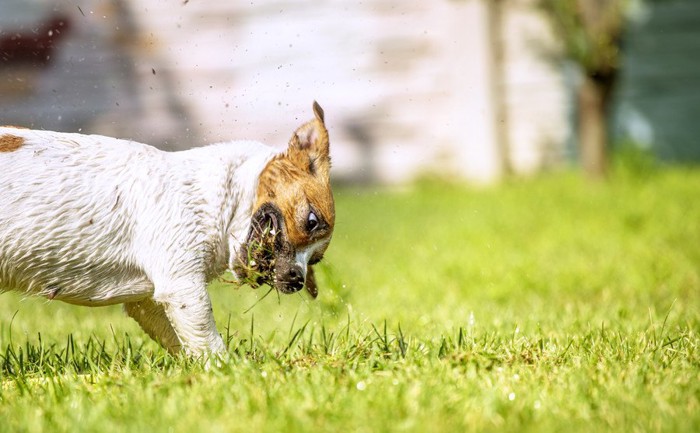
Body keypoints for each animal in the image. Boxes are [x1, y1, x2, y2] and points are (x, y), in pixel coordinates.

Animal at [0, 101, 336, 354]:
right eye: (311, 221)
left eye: (316, 260)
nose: (296, 279)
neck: (216, 196)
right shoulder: (182, 287)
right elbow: (208, 338)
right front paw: (230, 370)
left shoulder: (149, 301)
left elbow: (181, 338)